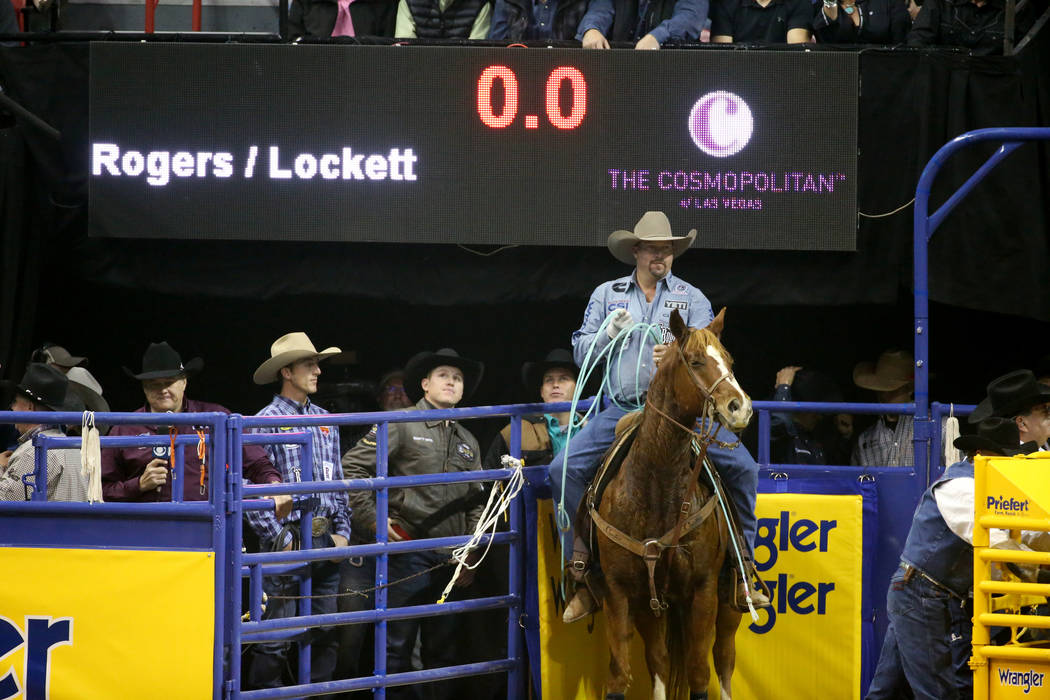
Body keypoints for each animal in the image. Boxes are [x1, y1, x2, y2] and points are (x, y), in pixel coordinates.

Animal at [592, 308, 755, 700]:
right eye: (695, 361)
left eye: (728, 360)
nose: (740, 407)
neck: (657, 488)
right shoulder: (620, 591)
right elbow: (619, 674)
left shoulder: (703, 590)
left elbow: (699, 674)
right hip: (653, 607)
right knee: (659, 660)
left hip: (728, 603)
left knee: (723, 658)